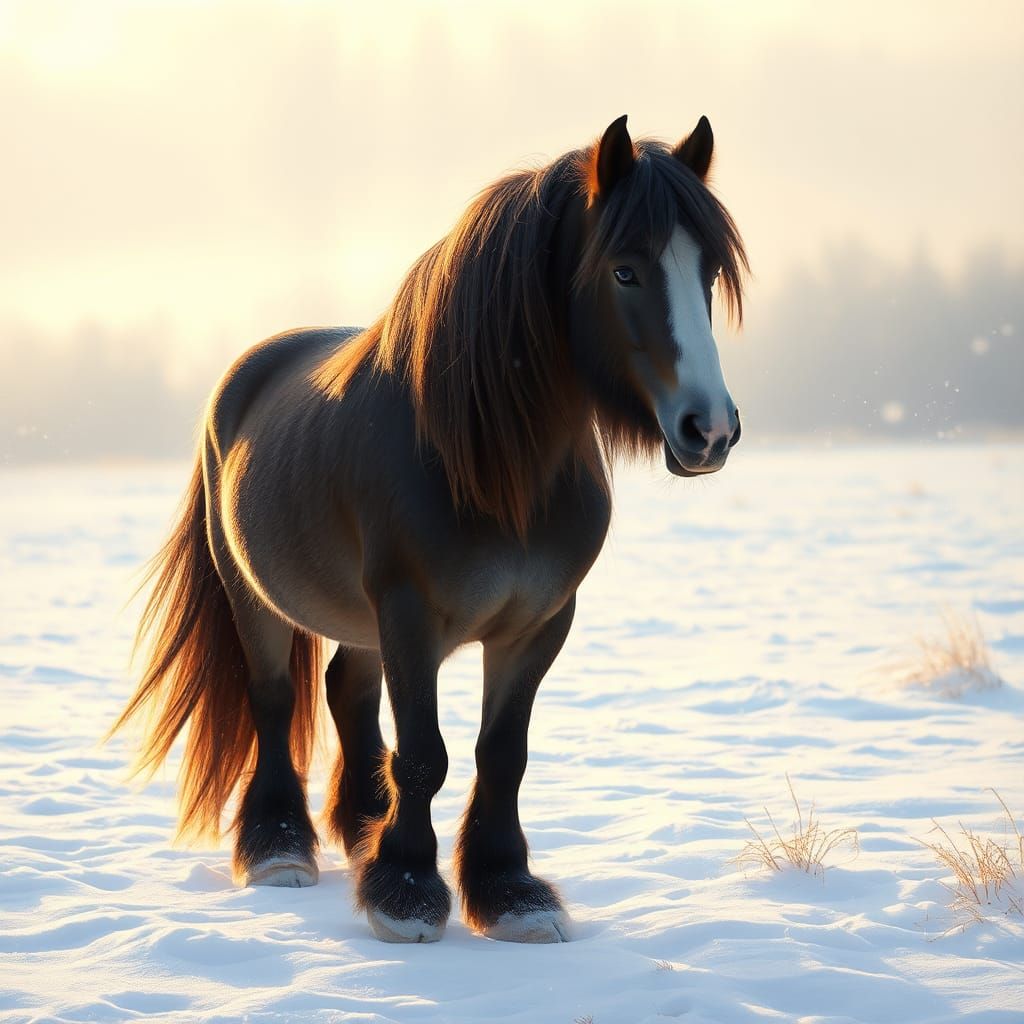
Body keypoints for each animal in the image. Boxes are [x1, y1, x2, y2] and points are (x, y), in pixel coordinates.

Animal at [112, 114, 747, 944]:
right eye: (625, 272)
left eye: (706, 272)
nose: (710, 429)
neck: (496, 464)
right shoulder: (411, 612)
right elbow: (425, 755)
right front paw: (407, 890)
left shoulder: (539, 622)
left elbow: (502, 753)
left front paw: (510, 892)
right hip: (253, 595)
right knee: (275, 699)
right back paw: (280, 847)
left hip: (357, 615)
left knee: (345, 691)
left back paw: (360, 827)